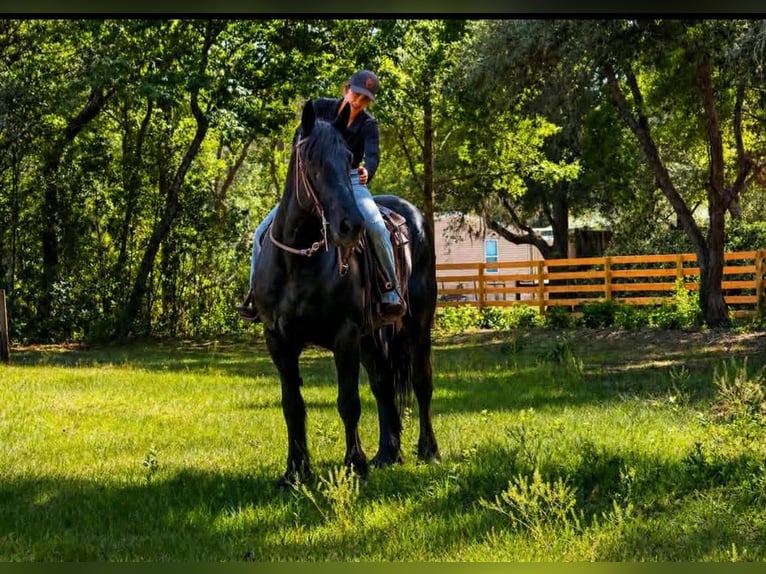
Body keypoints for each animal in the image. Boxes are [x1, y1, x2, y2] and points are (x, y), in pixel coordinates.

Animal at [252, 100, 440, 486]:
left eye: (349, 159)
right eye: (311, 159)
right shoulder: (278, 340)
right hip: (371, 339)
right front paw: (295, 471)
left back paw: (427, 450)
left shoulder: (345, 335)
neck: (300, 259)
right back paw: (387, 453)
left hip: (416, 327)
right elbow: (292, 405)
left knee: (421, 382)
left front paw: (355, 465)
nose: (350, 225)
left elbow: (348, 402)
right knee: (383, 384)